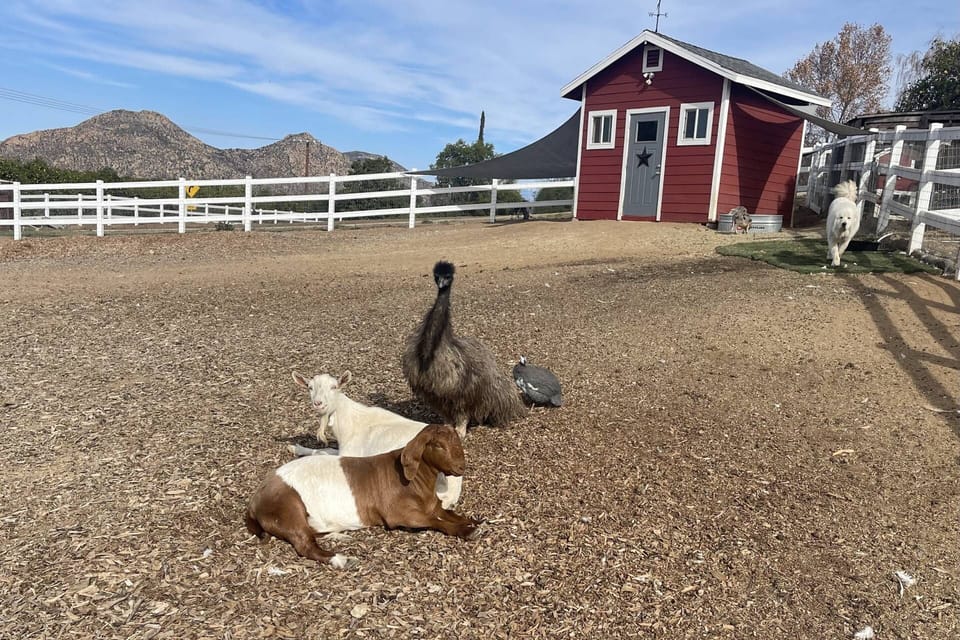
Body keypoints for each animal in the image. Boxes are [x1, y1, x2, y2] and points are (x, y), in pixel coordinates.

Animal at [245, 424, 480, 568]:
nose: (461, 467)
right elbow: (435, 520)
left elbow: (447, 512)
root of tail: (255, 501)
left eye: (457, 442)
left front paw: (473, 521)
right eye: (438, 445)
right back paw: (340, 559)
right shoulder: (400, 514)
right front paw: (468, 531)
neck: (417, 483)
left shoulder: (434, 505)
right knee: (304, 544)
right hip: (289, 509)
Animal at [291, 370, 462, 509]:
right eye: (309, 387)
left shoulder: (350, 454)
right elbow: (327, 449)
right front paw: (295, 448)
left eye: (334, 387)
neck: (350, 422)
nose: (318, 403)